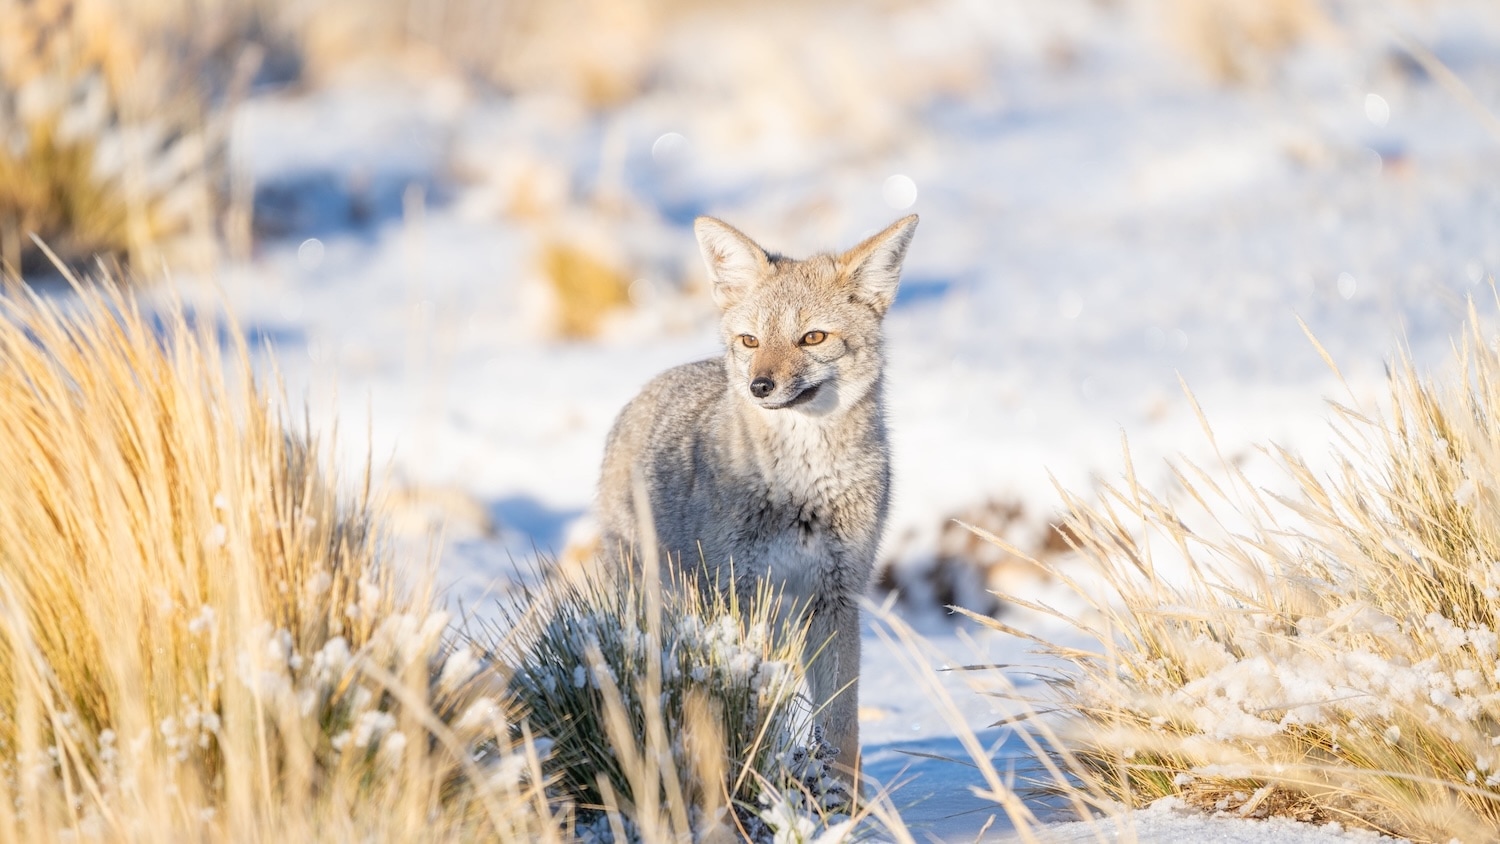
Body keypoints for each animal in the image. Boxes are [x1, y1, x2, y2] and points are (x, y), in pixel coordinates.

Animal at [596, 213, 918, 778]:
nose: (760, 386)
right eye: (750, 340)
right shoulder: (739, 595)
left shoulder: (835, 598)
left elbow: (842, 729)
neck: (801, 491)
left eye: (812, 337)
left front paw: (846, 796)